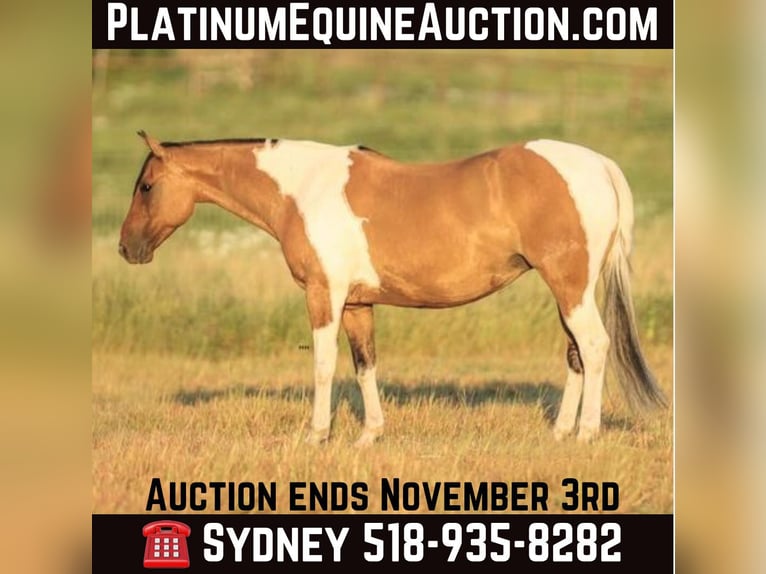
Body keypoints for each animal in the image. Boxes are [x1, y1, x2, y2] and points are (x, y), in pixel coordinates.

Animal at [119, 131, 666, 445]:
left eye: (146, 186)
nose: (127, 248)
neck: (304, 189)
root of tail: (597, 164)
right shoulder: (358, 303)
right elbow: (365, 366)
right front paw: (369, 436)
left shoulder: (324, 295)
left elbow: (323, 365)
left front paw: (316, 435)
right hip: (570, 290)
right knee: (576, 353)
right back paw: (560, 432)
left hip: (570, 286)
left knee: (593, 347)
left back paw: (587, 434)